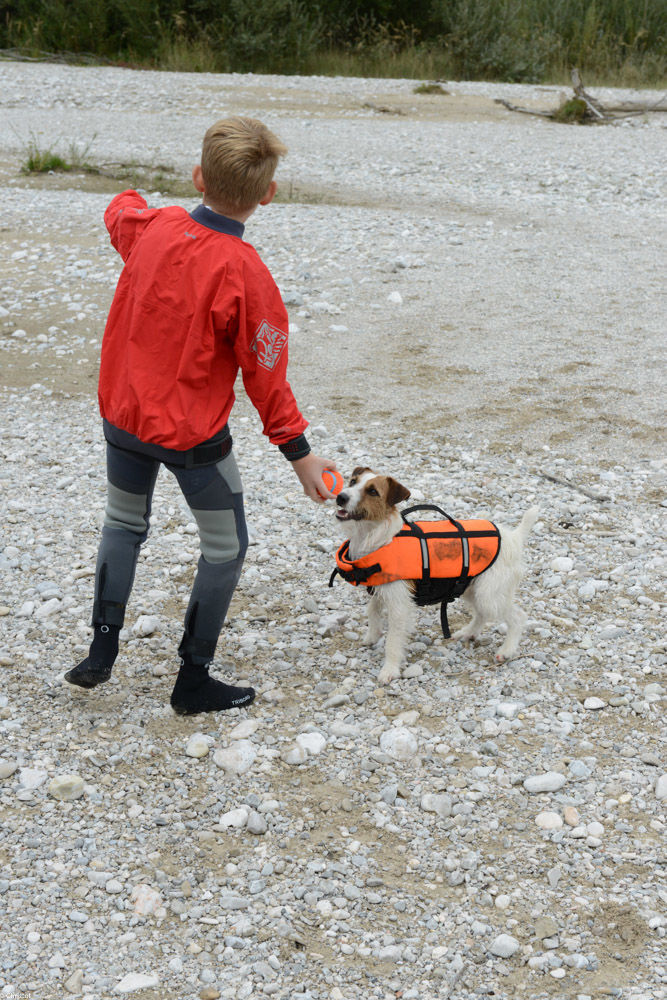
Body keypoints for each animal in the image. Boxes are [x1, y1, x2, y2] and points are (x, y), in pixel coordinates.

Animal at [332, 468, 540, 688]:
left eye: (372, 491)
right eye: (353, 481)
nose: (341, 497)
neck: (379, 537)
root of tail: (513, 537)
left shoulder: (399, 605)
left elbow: (393, 641)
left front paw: (390, 670)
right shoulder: (381, 590)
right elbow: (372, 610)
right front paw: (372, 636)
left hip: (488, 595)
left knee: (518, 617)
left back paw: (507, 650)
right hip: (470, 588)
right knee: (482, 614)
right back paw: (468, 632)